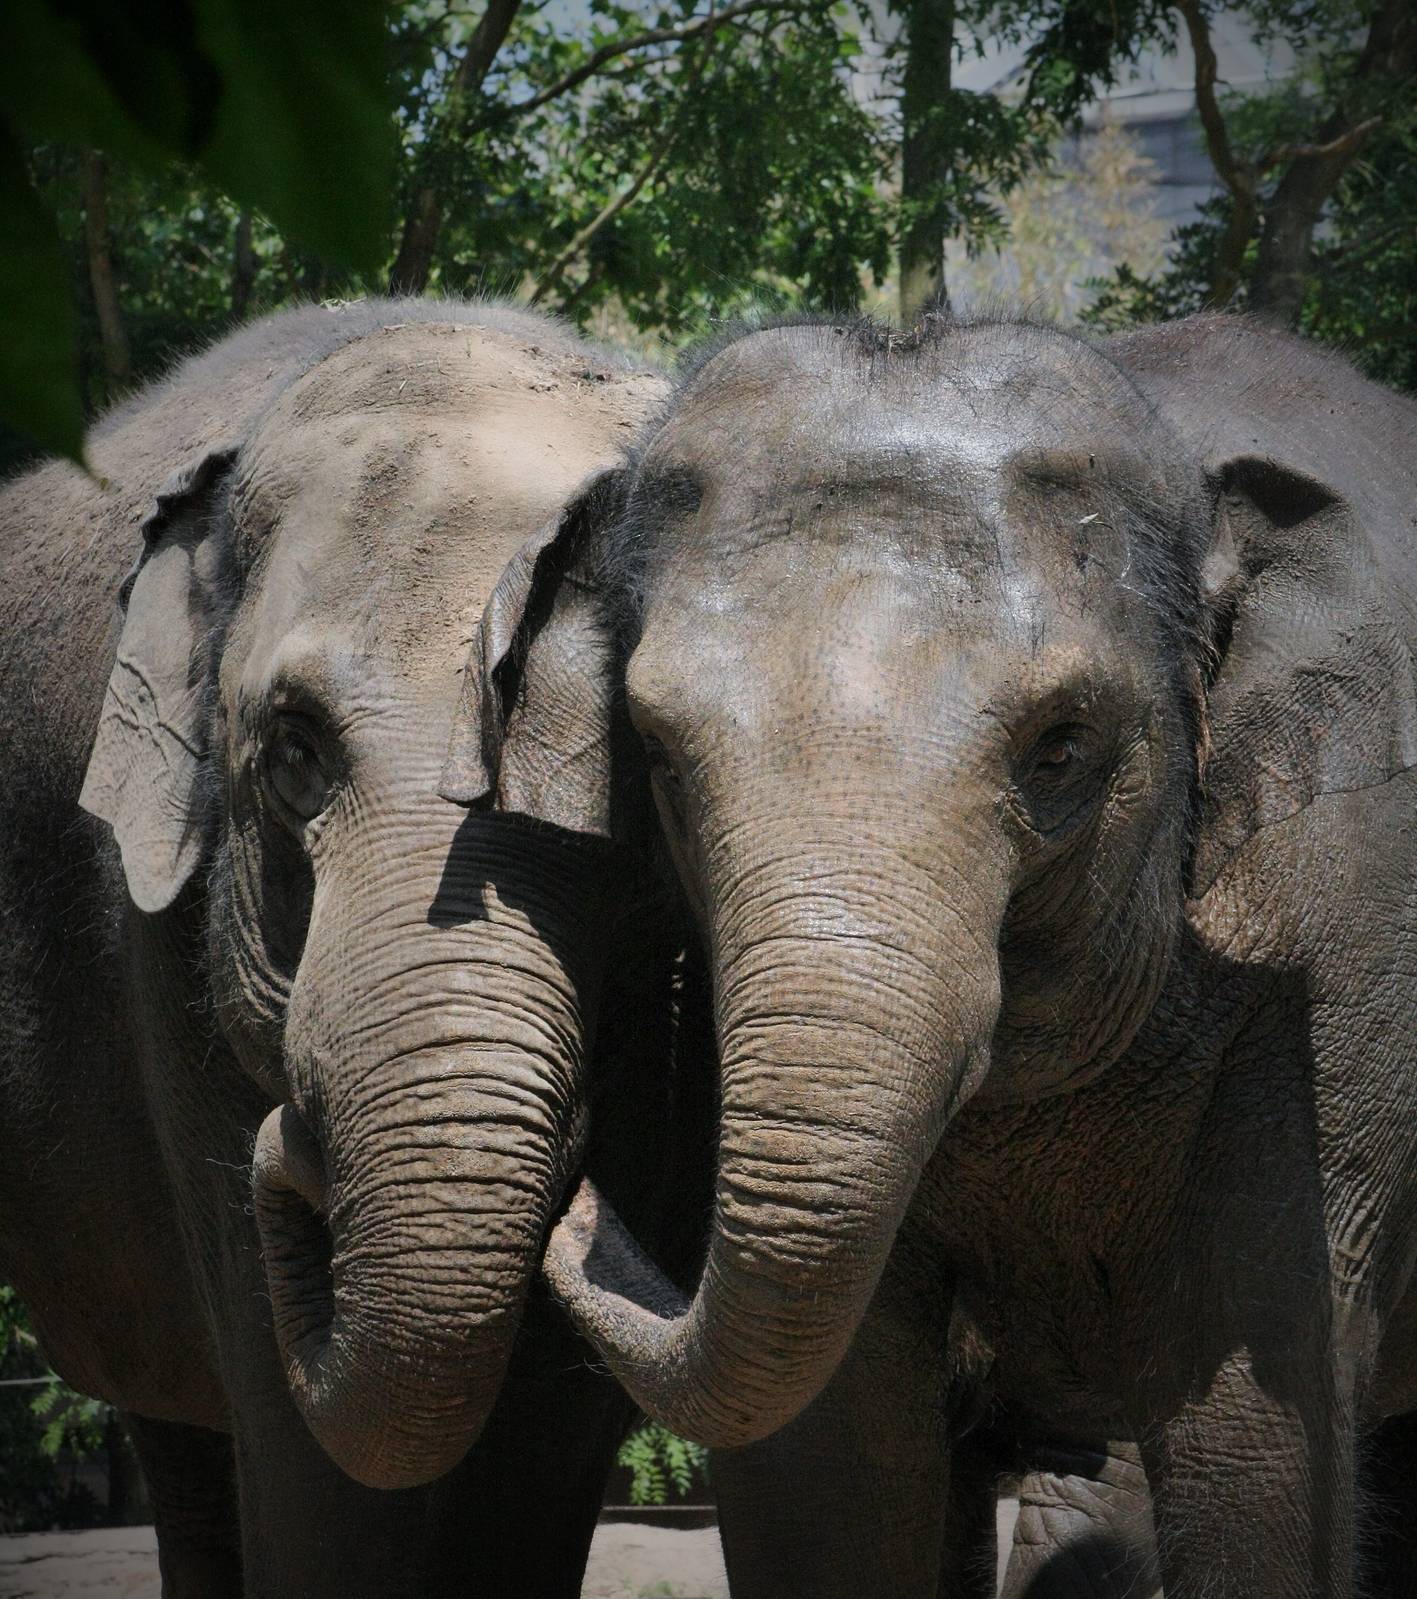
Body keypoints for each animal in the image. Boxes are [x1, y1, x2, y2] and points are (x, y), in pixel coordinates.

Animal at [0, 297, 705, 1596]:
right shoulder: (158, 947)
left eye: (630, 775)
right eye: (294, 753)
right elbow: (318, 1474)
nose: (289, 1150)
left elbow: (543, 1439)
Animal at [445, 311, 1417, 1597]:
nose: (572, 1182)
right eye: (654, 750)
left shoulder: (1333, 977)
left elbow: (1254, 1449)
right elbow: (836, 1464)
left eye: (1061, 749)